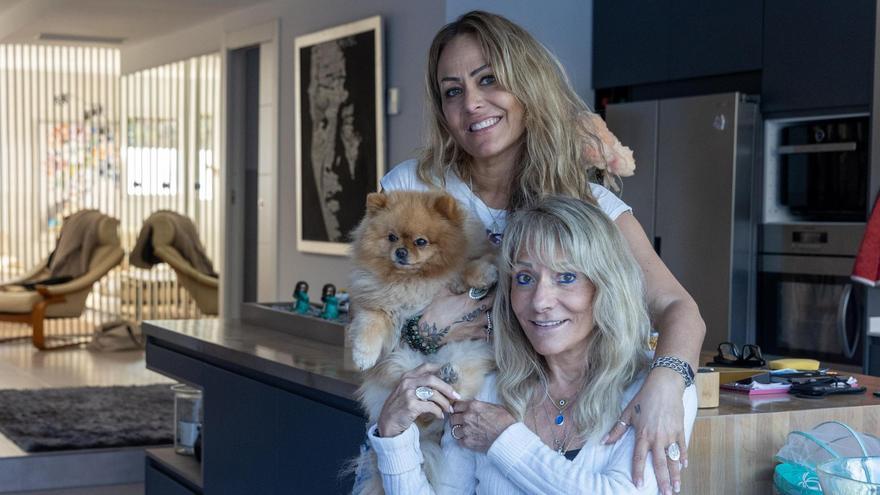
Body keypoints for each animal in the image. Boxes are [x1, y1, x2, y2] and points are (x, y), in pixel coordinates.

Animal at [348, 192, 498, 494]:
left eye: (421, 242)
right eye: (392, 237)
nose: (400, 252)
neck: (414, 281)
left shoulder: (472, 259)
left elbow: (471, 266)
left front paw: (482, 276)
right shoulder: (380, 307)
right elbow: (370, 326)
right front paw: (362, 355)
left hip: (469, 352)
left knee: (455, 396)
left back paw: (449, 375)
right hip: (399, 369)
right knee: (426, 411)